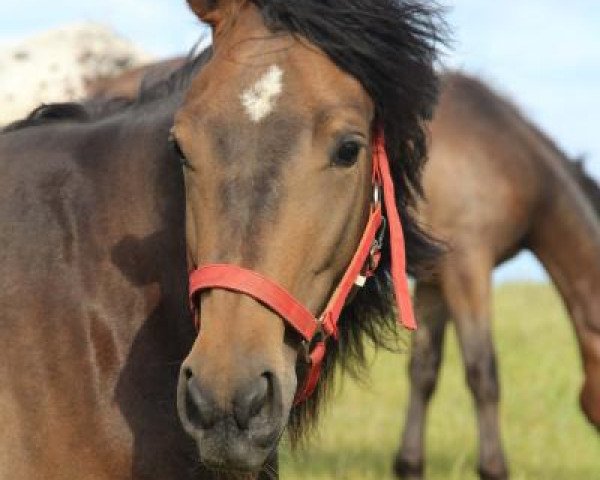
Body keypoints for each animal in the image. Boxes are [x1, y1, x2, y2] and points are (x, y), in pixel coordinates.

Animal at [394, 71, 600, 480]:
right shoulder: (467, 266)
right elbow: (482, 370)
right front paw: (493, 468)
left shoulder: (432, 280)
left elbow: (423, 370)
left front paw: (409, 465)